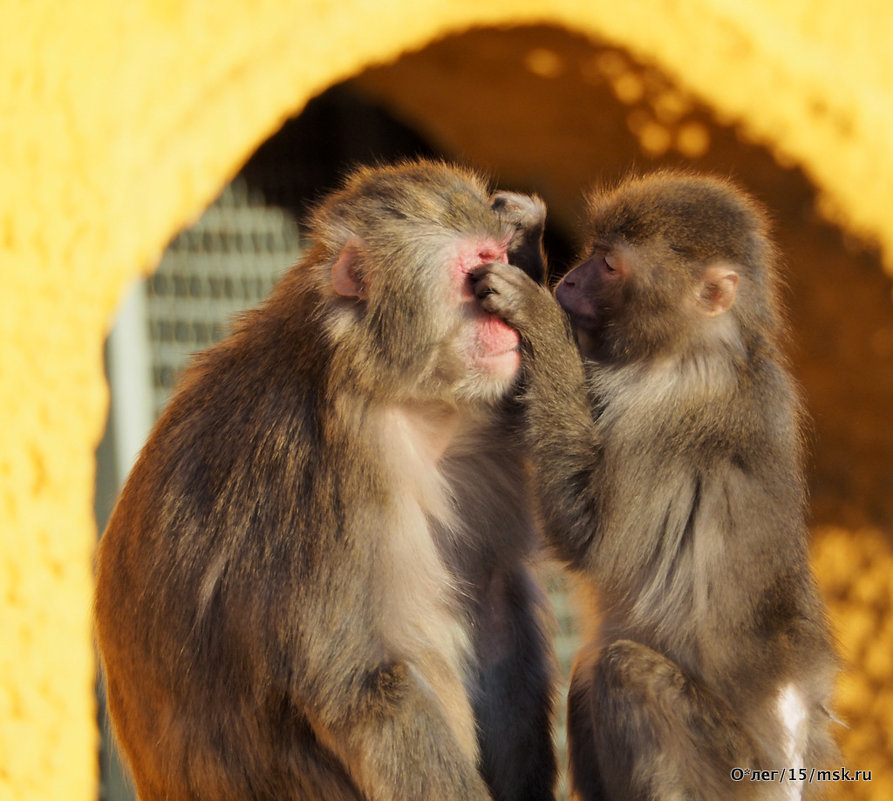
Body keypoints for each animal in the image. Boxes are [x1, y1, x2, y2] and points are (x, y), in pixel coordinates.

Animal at [99, 161, 556, 800]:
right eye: (475, 274)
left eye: (498, 260)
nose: (505, 323)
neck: (389, 387)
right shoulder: (328, 480)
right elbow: (363, 684)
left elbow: (493, 604)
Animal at [474, 173, 836, 800]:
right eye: (593, 251)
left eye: (608, 265)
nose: (569, 281)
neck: (690, 347)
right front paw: (524, 234)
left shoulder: (666, 421)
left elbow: (593, 540)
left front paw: (535, 310)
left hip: (727, 771)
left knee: (622, 670)